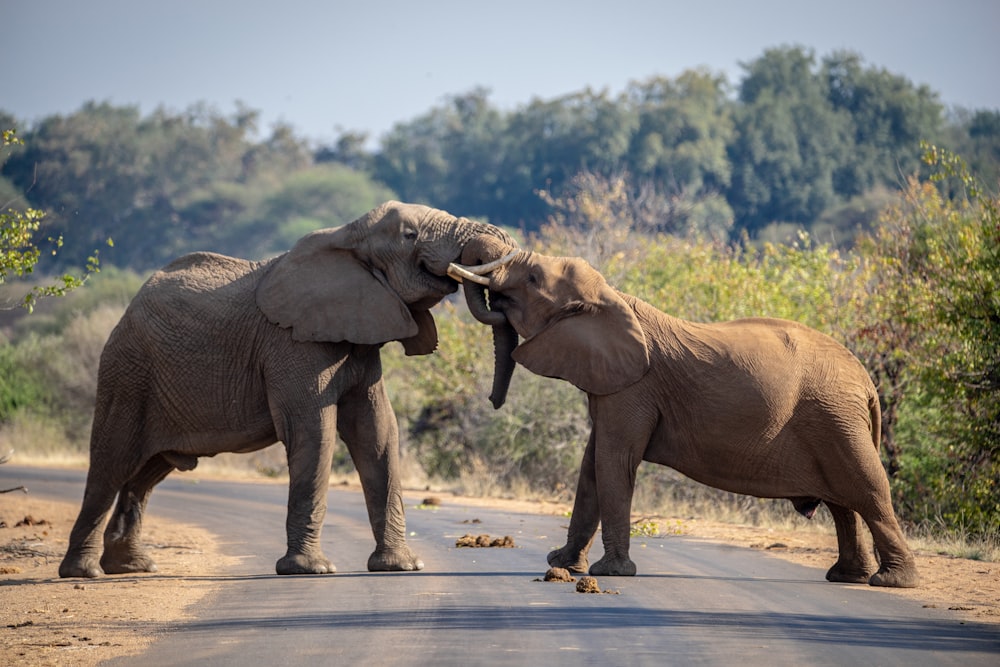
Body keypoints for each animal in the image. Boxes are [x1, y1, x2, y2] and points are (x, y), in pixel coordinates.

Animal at [58, 200, 520, 580]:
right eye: (410, 235)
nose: (494, 401)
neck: (346, 234)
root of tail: (127, 310)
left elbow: (378, 433)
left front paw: (401, 567)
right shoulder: (292, 344)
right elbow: (314, 432)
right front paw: (310, 570)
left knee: (147, 473)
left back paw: (133, 568)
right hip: (126, 373)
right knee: (111, 463)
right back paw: (84, 573)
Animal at [454, 240, 920, 588]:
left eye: (533, 279)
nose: (492, 401)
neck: (611, 296)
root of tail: (867, 382)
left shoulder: (634, 389)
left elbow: (613, 462)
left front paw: (610, 573)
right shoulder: (614, 386)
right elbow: (591, 466)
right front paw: (563, 564)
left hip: (835, 417)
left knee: (867, 489)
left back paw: (891, 582)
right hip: (832, 417)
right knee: (844, 502)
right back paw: (847, 578)